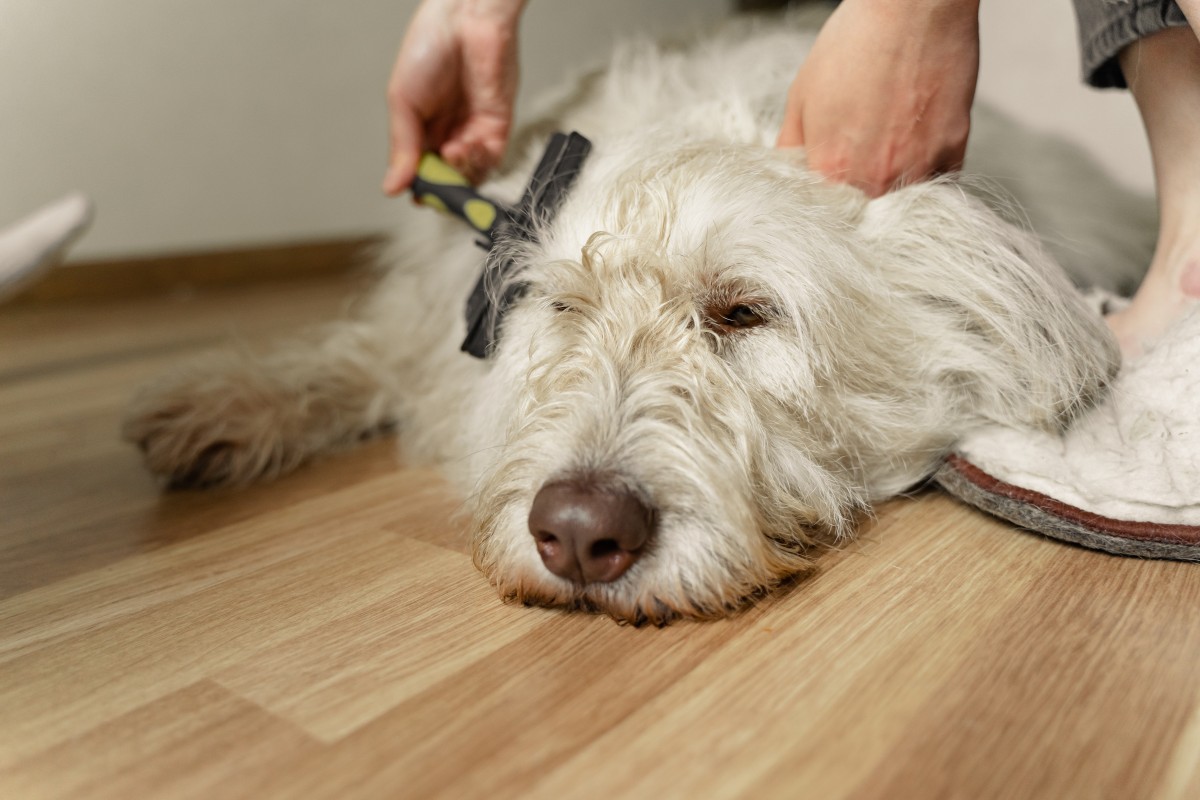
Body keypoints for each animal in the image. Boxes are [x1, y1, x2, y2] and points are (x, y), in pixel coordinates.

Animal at [121, 14, 1142, 623]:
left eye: (743, 313)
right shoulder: (422, 324)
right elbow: (360, 355)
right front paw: (226, 405)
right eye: (562, 308)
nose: (577, 534)